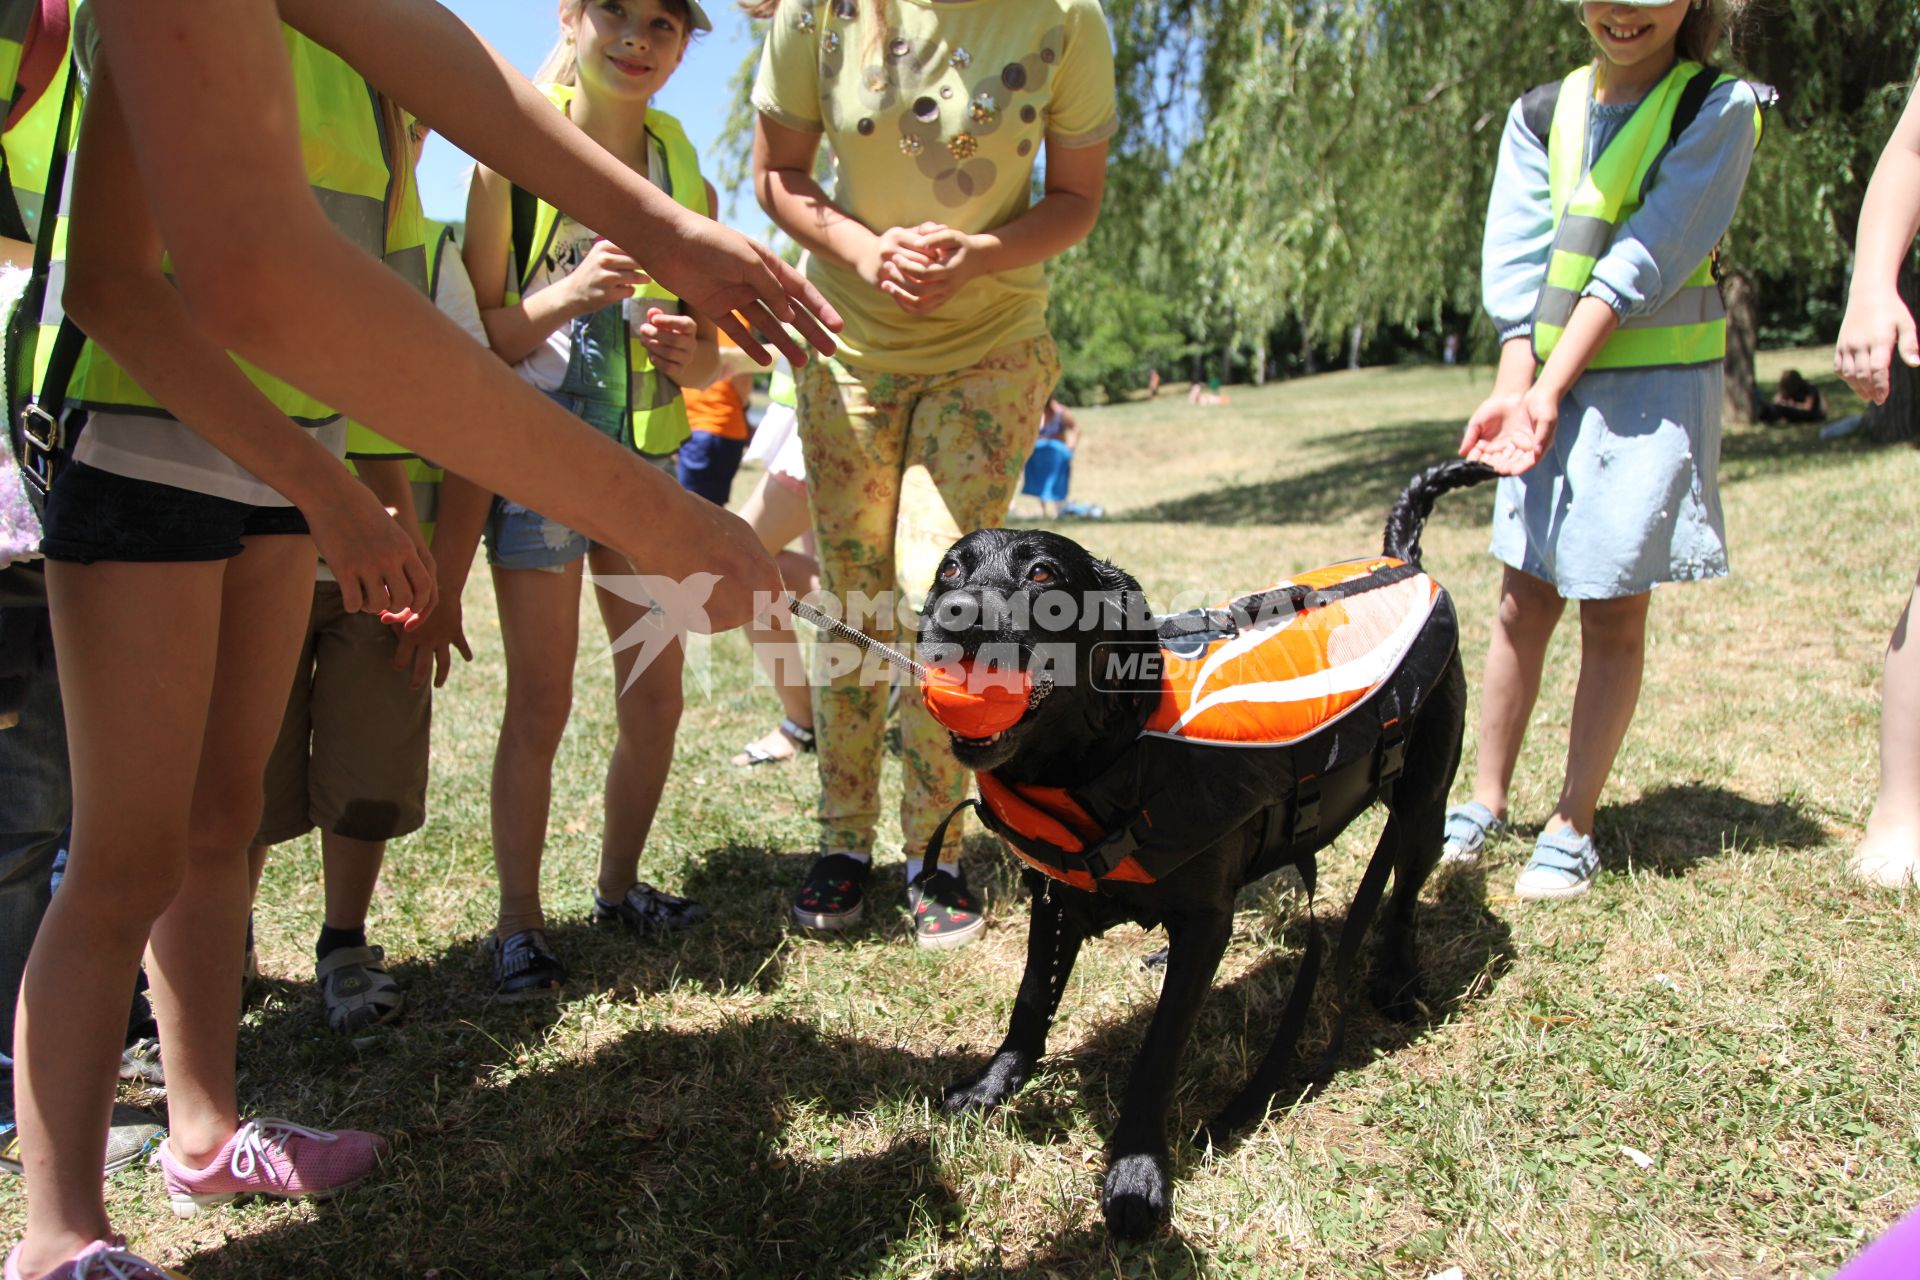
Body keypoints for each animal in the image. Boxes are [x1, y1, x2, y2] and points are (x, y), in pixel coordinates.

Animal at [921, 460, 1489, 1243]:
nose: (955, 615)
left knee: (1402, 895)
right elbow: (1030, 1003)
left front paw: (1136, 1173)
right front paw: (990, 1087)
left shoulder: (1201, 924)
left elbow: (1158, 1051)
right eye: (950, 568)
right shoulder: (1055, 897)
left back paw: (1399, 980)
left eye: (1041, 575)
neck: (1108, 759)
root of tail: (1404, 560)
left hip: (1424, 800)